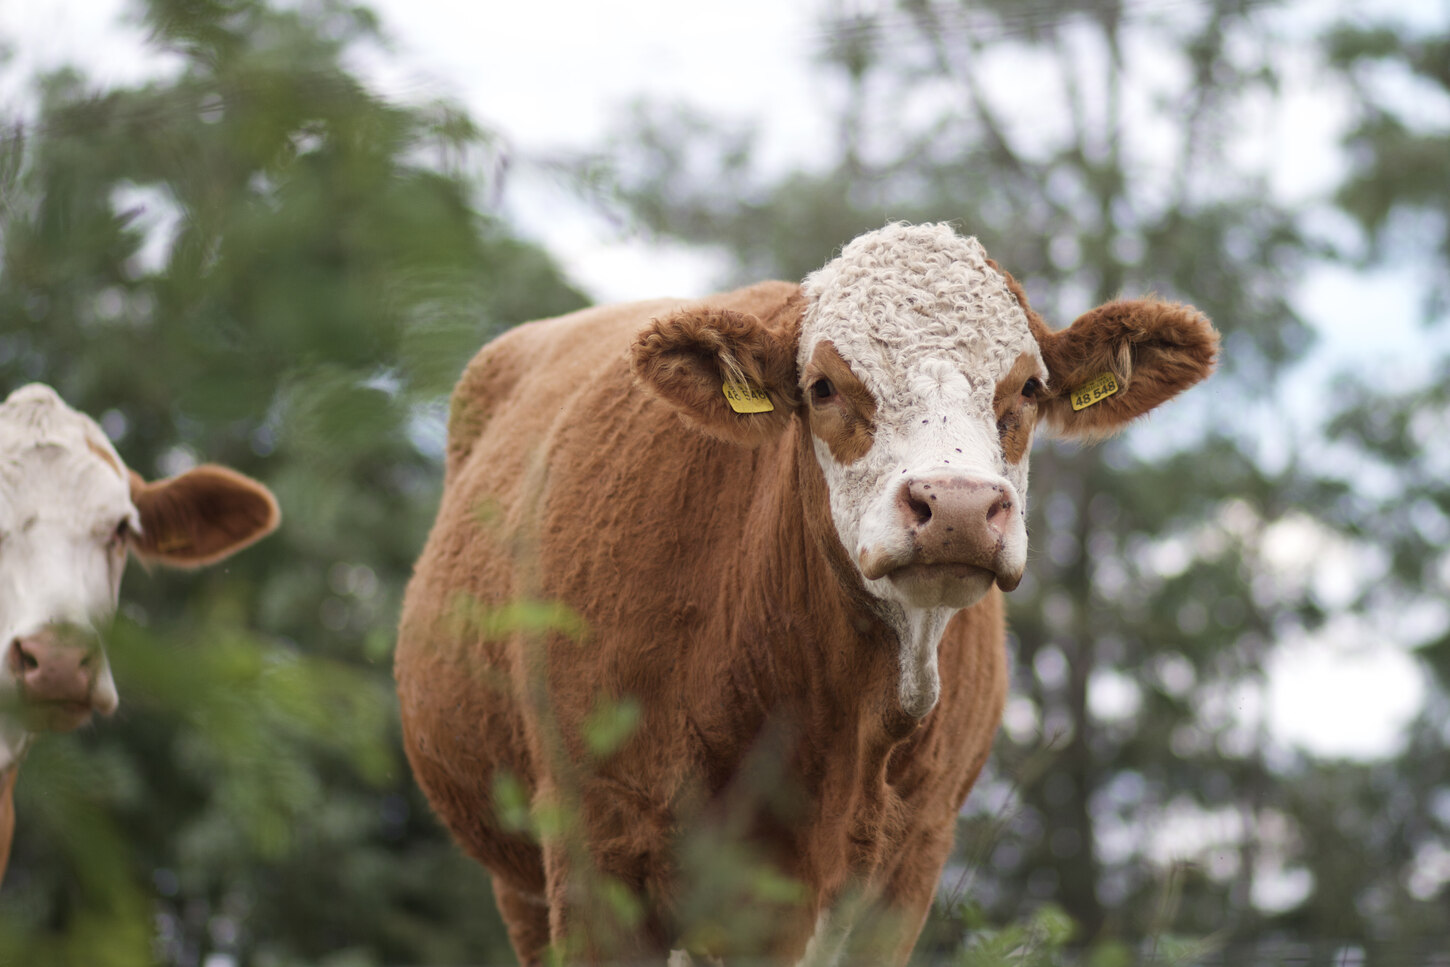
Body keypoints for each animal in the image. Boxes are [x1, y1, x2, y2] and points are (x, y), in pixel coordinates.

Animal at [391, 223, 1218, 962]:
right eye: (823, 386)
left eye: (1029, 387)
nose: (955, 506)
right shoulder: (598, 851)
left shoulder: (907, 872)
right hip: (519, 879)